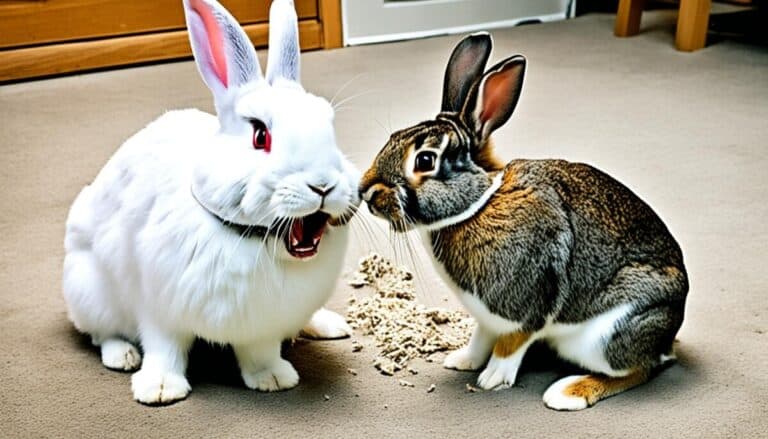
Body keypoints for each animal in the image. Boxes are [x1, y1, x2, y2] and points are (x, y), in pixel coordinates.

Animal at [62, 0, 360, 405]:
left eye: (330, 127)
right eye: (260, 135)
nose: (323, 184)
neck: (251, 238)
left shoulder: (262, 324)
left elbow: (261, 352)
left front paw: (274, 379)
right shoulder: (159, 309)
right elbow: (164, 348)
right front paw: (159, 389)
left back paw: (327, 325)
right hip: (89, 290)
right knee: (100, 333)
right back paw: (122, 356)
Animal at [359, 33, 688, 410]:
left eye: (425, 159)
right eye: (395, 135)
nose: (365, 191)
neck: (480, 202)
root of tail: (669, 336)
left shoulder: (524, 310)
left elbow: (511, 345)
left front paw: (490, 379)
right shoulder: (487, 317)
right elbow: (481, 337)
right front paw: (462, 360)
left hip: (605, 337)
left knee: (639, 371)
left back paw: (568, 393)